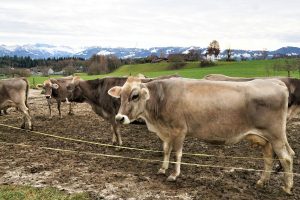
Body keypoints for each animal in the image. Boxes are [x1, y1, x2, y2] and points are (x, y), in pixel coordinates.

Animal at [108, 76, 292, 194]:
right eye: (120, 96)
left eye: (135, 96)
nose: (119, 118)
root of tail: (275, 82)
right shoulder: (167, 133)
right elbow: (166, 150)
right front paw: (162, 169)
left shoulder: (179, 130)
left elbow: (177, 153)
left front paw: (174, 175)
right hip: (265, 139)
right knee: (268, 158)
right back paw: (262, 181)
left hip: (276, 136)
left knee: (287, 158)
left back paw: (287, 188)